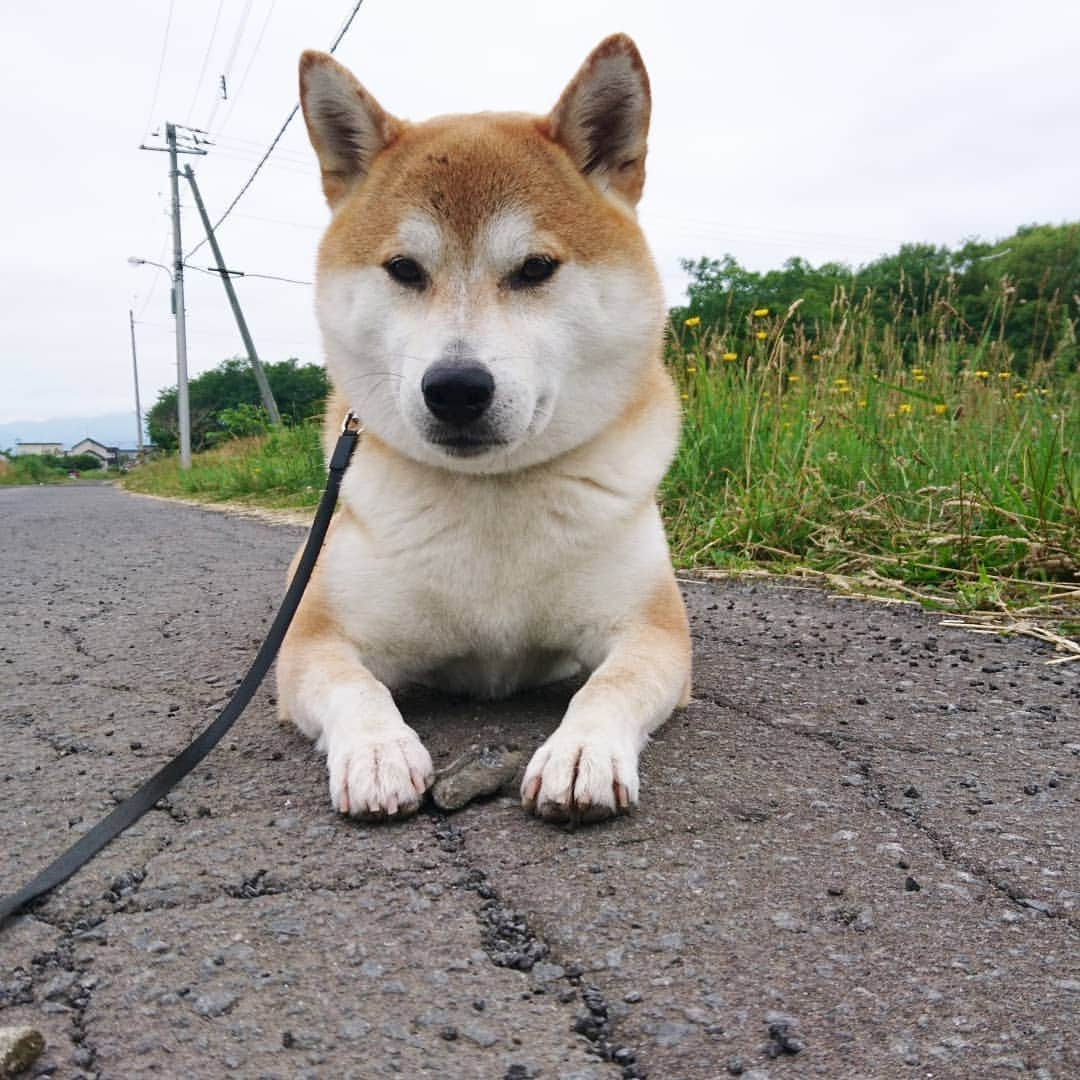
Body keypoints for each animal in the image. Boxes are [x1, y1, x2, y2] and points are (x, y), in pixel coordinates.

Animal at [280, 35, 691, 825]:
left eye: (535, 268)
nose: (456, 388)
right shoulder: (315, 641)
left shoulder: (653, 632)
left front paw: (581, 751)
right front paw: (378, 751)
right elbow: (354, 686)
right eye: (404, 269)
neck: (490, 496)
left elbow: (611, 685)